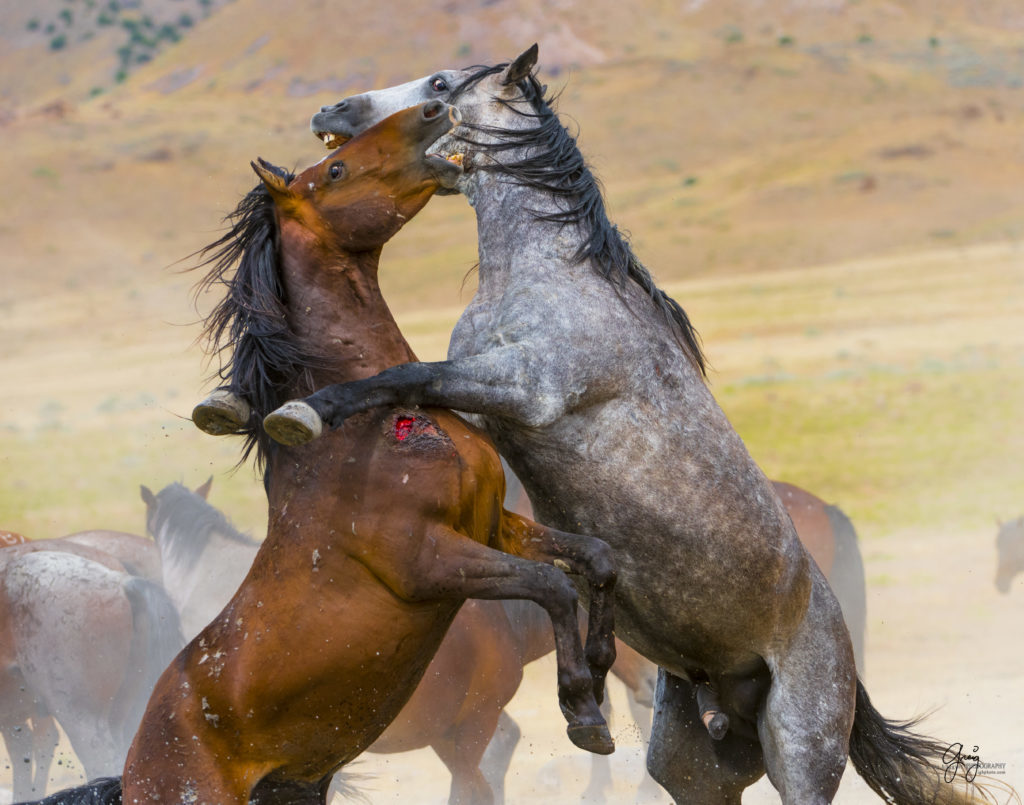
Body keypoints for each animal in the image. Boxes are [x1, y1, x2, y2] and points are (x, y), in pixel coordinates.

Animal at [37, 100, 614, 802]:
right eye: (334, 169)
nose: (432, 110)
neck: (373, 426)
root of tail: (134, 764)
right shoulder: (428, 560)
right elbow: (553, 586)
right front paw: (583, 710)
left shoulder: (493, 525)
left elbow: (597, 558)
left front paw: (602, 665)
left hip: (300, 787)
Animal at [201, 45, 991, 802]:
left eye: (443, 83)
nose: (332, 110)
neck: (547, 273)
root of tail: (845, 662)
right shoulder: (485, 401)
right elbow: (414, 380)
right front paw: (233, 403)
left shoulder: (524, 387)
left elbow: (403, 376)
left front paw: (303, 412)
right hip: (693, 764)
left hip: (802, 755)